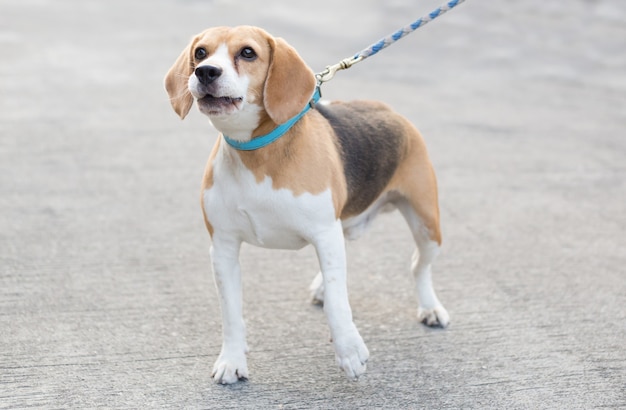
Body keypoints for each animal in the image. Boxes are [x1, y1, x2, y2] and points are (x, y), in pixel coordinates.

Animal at [163, 25, 446, 384]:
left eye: (248, 53)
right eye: (200, 52)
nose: (205, 72)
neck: (257, 152)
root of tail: (387, 109)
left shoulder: (324, 232)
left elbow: (338, 302)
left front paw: (349, 350)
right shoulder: (223, 246)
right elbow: (231, 310)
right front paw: (232, 359)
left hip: (427, 225)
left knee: (417, 265)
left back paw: (430, 308)